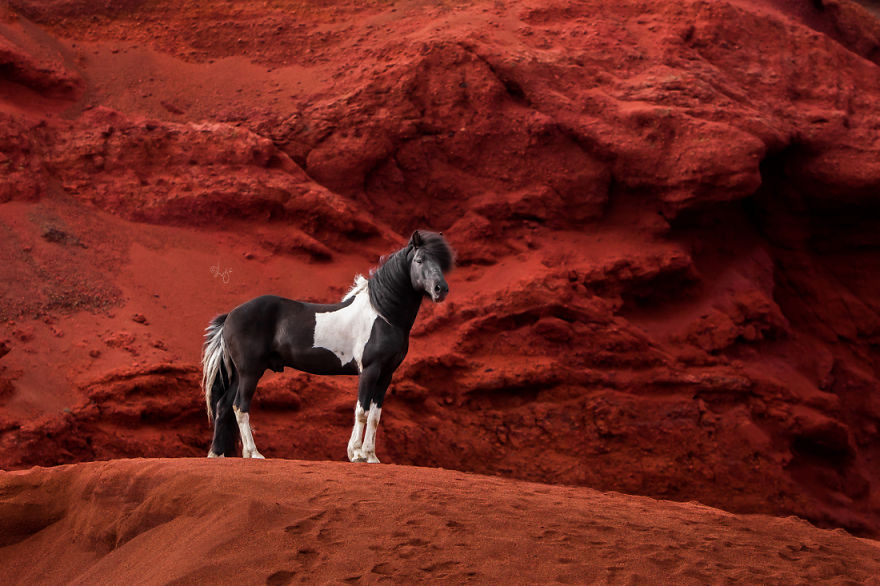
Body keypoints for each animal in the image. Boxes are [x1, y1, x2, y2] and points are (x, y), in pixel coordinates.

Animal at [200, 230, 454, 462]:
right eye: (419, 260)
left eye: (442, 263)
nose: (440, 289)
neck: (383, 315)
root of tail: (230, 315)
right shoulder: (370, 370)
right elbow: (362, 411)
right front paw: (356, 454)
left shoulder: (386, 374)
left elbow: (375, 415)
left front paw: (371, 456)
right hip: (250, 372)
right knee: (240, 407)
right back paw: (253, 453)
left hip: (240, 374)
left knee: (224, 406)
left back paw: (218, 454)